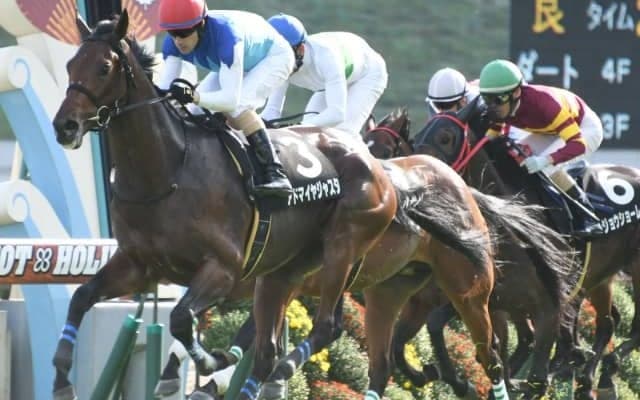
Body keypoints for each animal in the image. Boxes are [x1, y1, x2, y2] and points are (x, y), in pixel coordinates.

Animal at [50, 12, 504, 400]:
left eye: (104, 67)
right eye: (70, 64)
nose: (64, 126)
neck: (169, 169)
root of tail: (383, 175)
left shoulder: (224, 270)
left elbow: (183, 321)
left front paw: (210, 364)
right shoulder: (139, 265)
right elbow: (82, 298)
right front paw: (62, 380)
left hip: (412, 270)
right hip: (340, 284)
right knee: (364, 359)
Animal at [412, 97, 640, 399]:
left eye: (446, 137)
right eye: (416, 138)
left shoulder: (548, 304)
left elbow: (535, 371)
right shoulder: (490, 295)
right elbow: (439, 323)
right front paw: (456, 381)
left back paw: (603, 375)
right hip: (600, 276)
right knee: (607, 322)